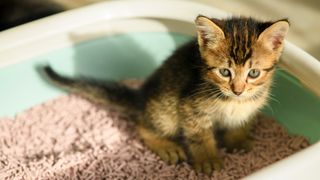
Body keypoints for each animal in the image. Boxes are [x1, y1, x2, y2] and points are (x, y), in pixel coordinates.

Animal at [41, 14, 288, 175]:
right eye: (224, 72)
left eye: (254, 73)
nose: (238, 89)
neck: (233, 101)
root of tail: (142, 96)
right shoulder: (190, 107)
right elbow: (199, 135)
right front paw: (207, 159)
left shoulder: (248, 108)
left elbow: (239, 123)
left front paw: (237, 139)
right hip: (166, 109)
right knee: (143, 126)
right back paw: (165, 145)